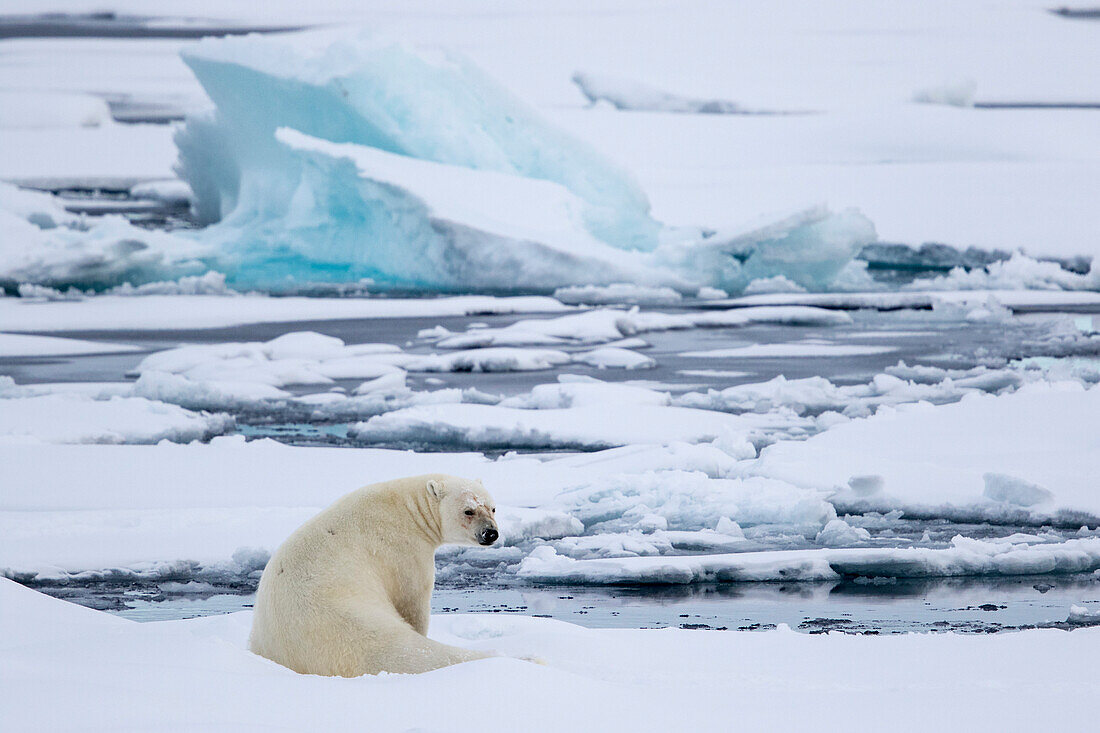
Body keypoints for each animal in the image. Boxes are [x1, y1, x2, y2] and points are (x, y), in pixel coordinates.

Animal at [248, 473, 499, 673]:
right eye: (468, 510)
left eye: (492, 507)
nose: (491, 533)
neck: (409, 508)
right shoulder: (402, 549)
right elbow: (412, 599)